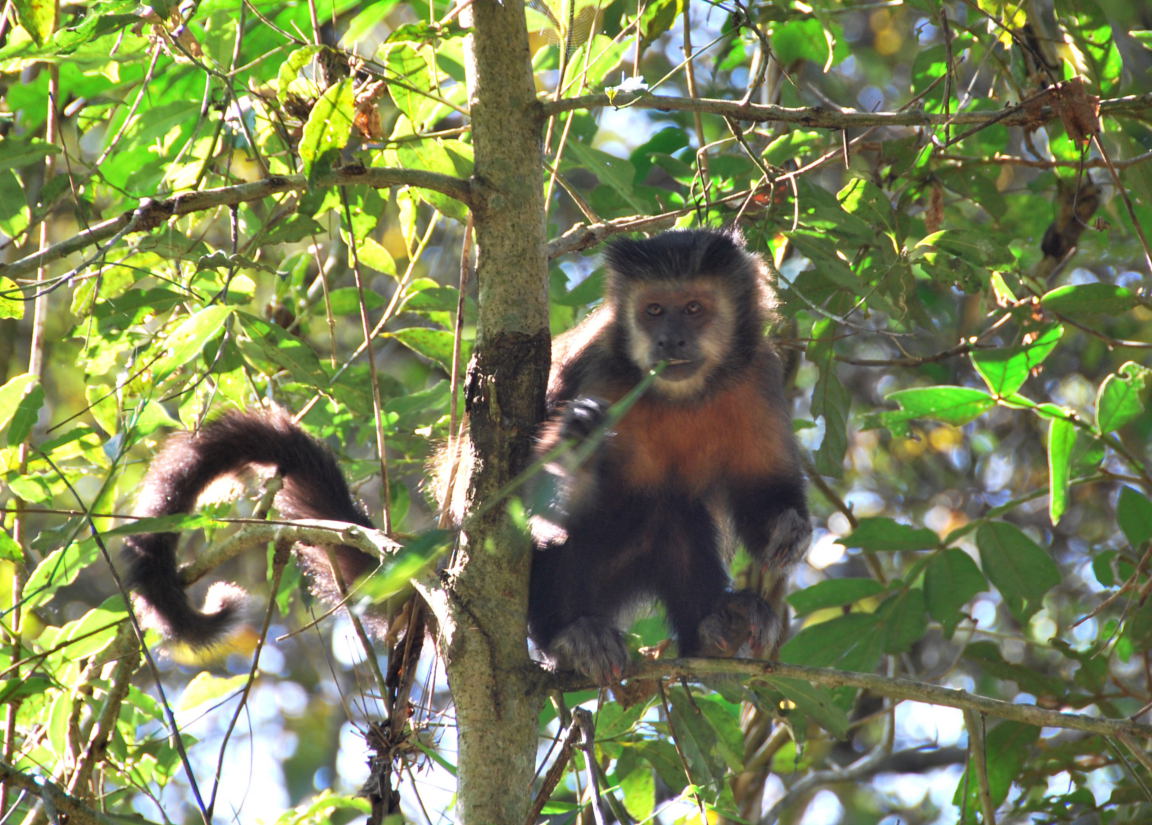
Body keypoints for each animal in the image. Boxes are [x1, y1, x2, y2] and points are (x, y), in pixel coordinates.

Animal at [527, 227, 810, 684]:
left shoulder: (758, 373)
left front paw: (787, 529)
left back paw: (716, 628)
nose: (669, 339)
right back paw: (571, 636)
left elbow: (764, 484)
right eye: (654, 310)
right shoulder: (594, 365)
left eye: (693, 308)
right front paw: (578, 450)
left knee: (673, 510)